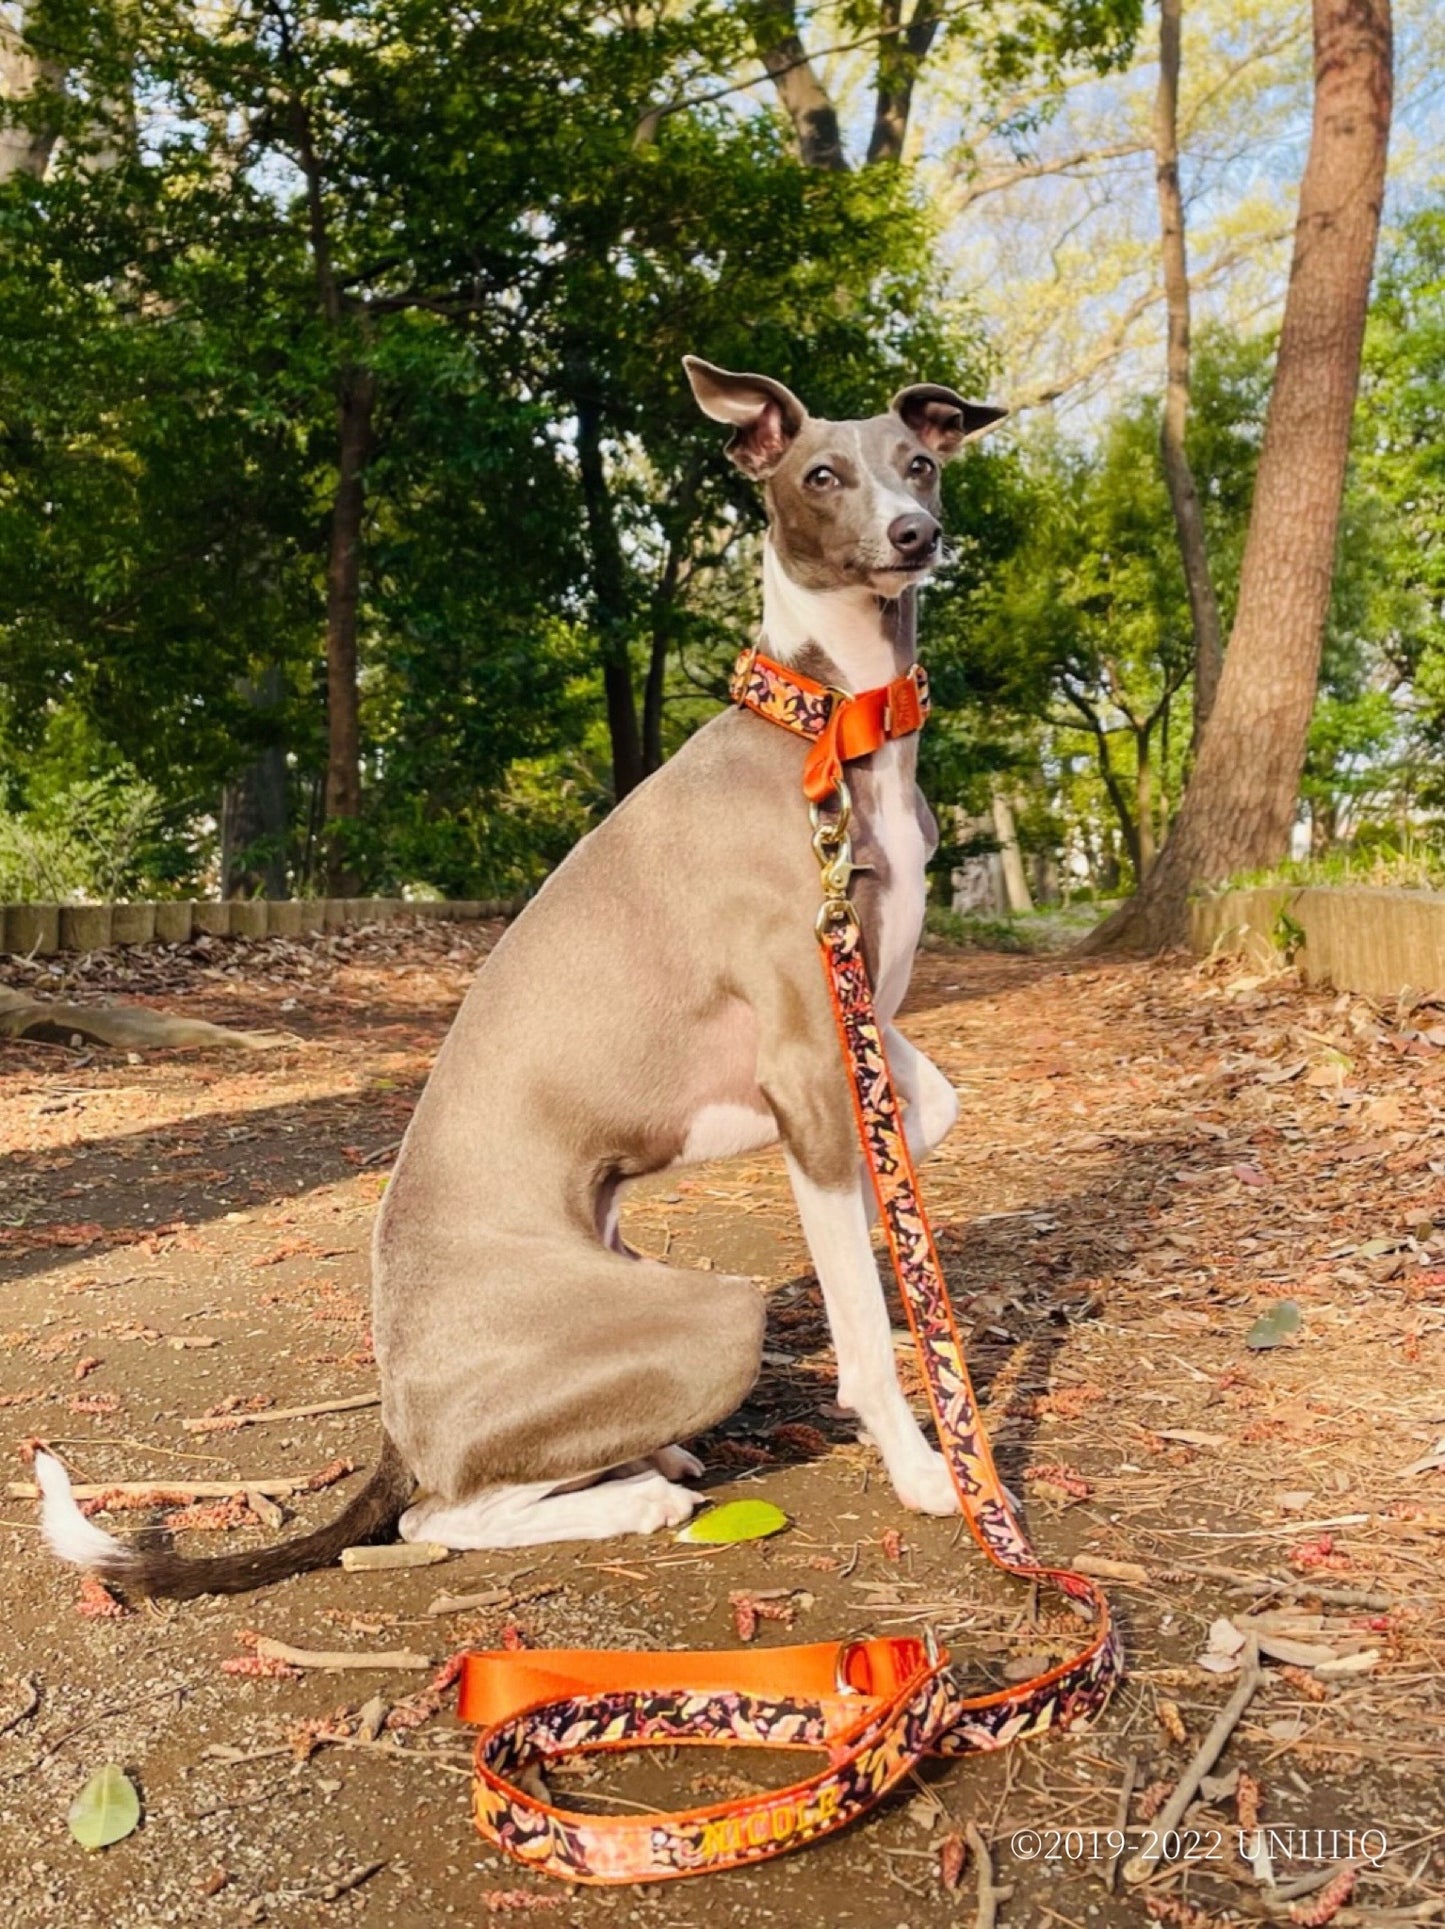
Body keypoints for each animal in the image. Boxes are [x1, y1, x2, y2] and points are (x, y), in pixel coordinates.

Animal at [36, 354, 1003, 1589]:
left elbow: (929, 1110)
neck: (826, 722)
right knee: (437, 1516)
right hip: (715, 1316)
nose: (914, 534)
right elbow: (867, 1331)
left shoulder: (854, 1039)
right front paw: (928, 1468)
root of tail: (398, 1427)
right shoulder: (805, 1065)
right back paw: (637, 1494)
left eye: (919, 461)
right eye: (821, 474)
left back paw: (651, 1460)